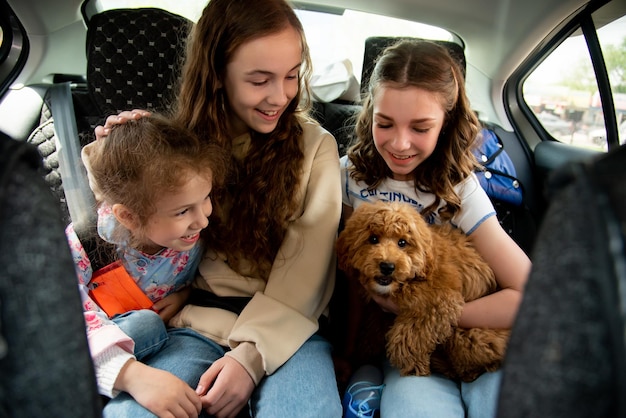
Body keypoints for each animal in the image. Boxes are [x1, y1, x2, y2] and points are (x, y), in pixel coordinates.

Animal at [336, 202, 508, 382]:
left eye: (402, 242)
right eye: (373, 239)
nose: (387, 266)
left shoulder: (438, 304)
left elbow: (409, 335)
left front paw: (412, 365)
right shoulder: (378, 311)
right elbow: (371, 328)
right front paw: (363, 352)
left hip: (470, 336)